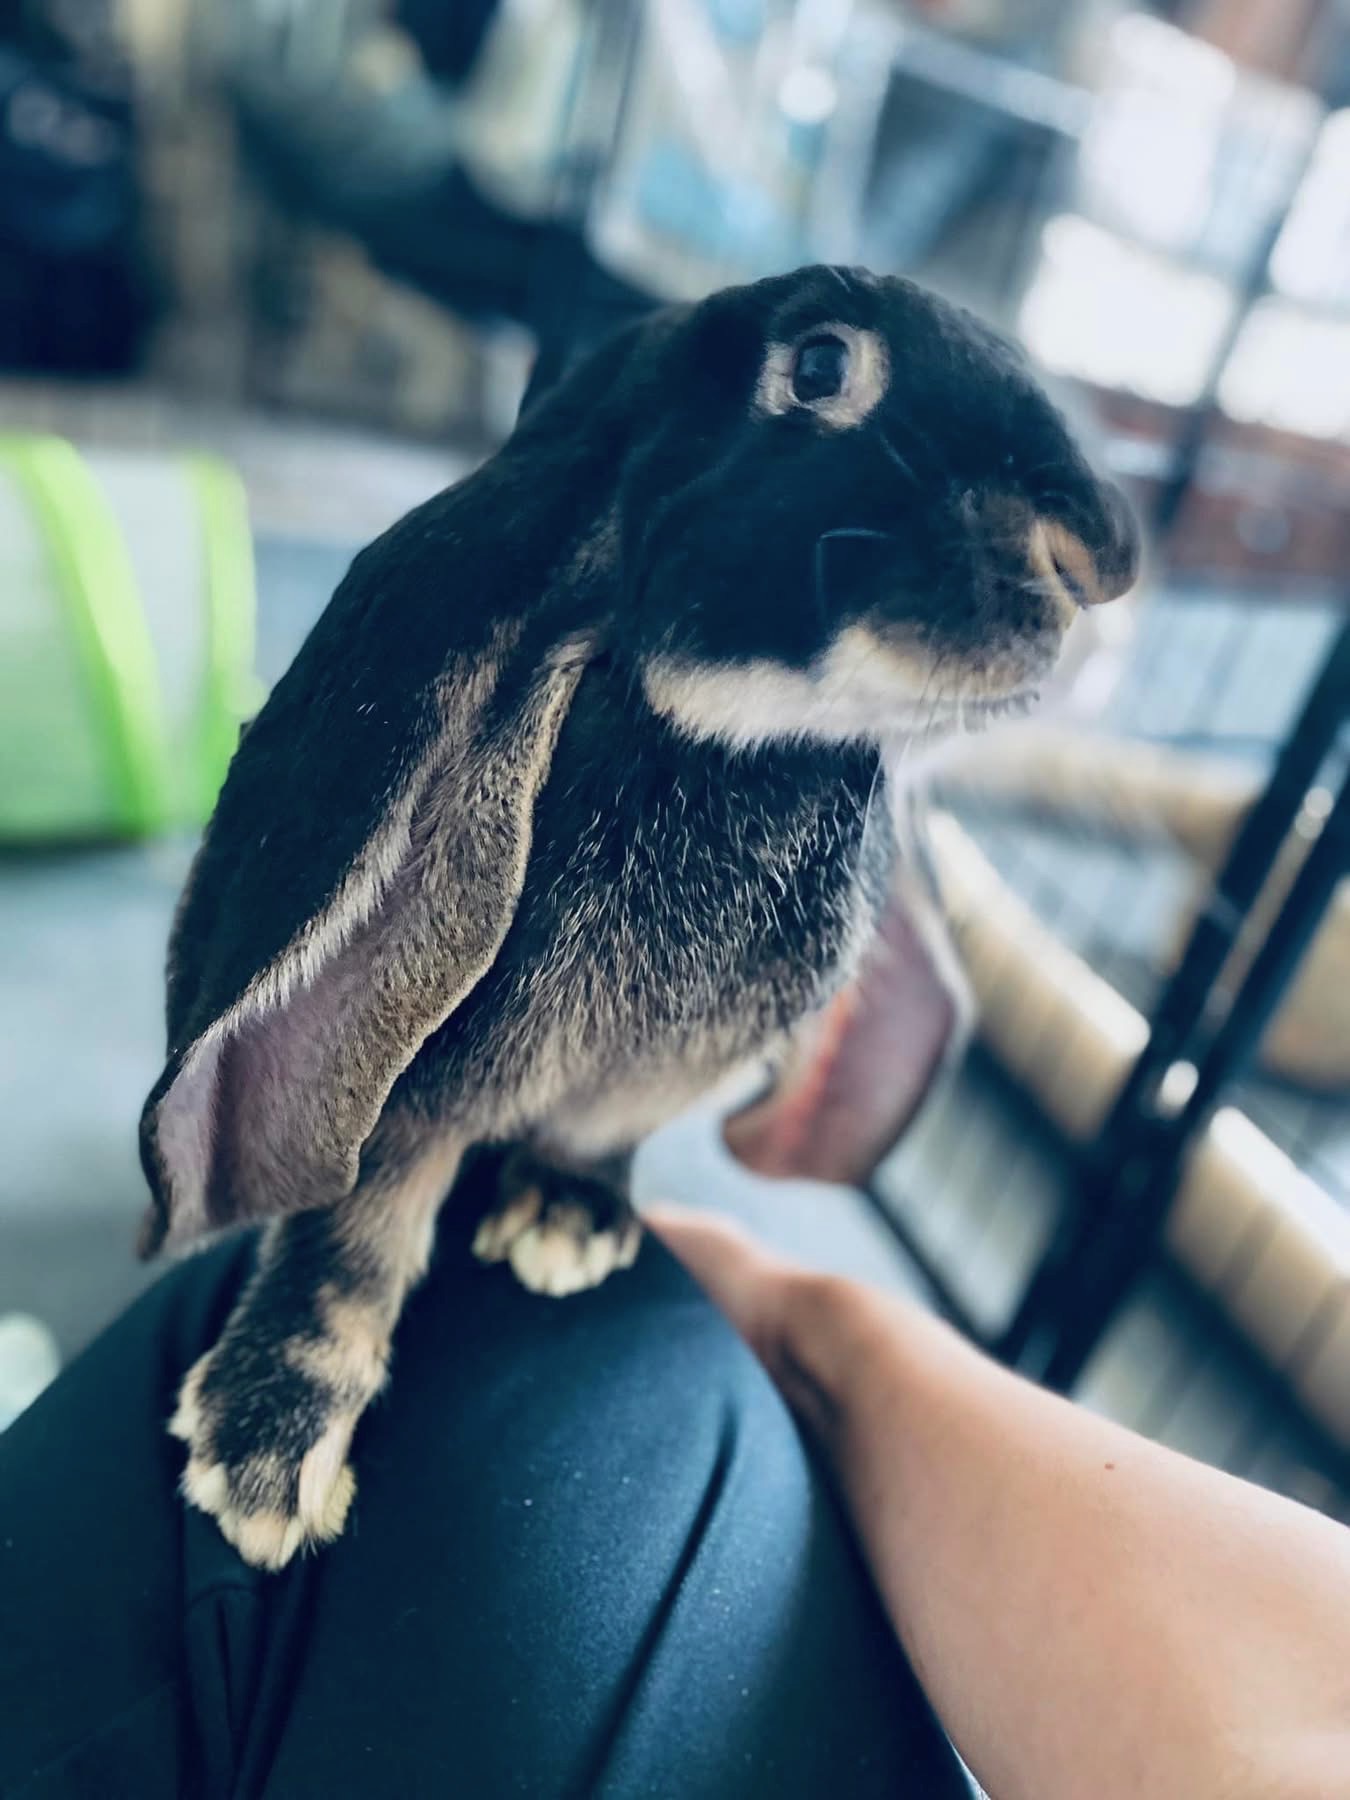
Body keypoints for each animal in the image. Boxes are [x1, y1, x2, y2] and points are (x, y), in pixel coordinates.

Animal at [139, 264, 1139, 1568]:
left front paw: (570, 1226)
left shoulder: (649, 1083)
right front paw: (260, 1455)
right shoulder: (408, 1103)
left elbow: (593, 1142)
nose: (1101, 559)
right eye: (821, 367)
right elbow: (352, 1236)